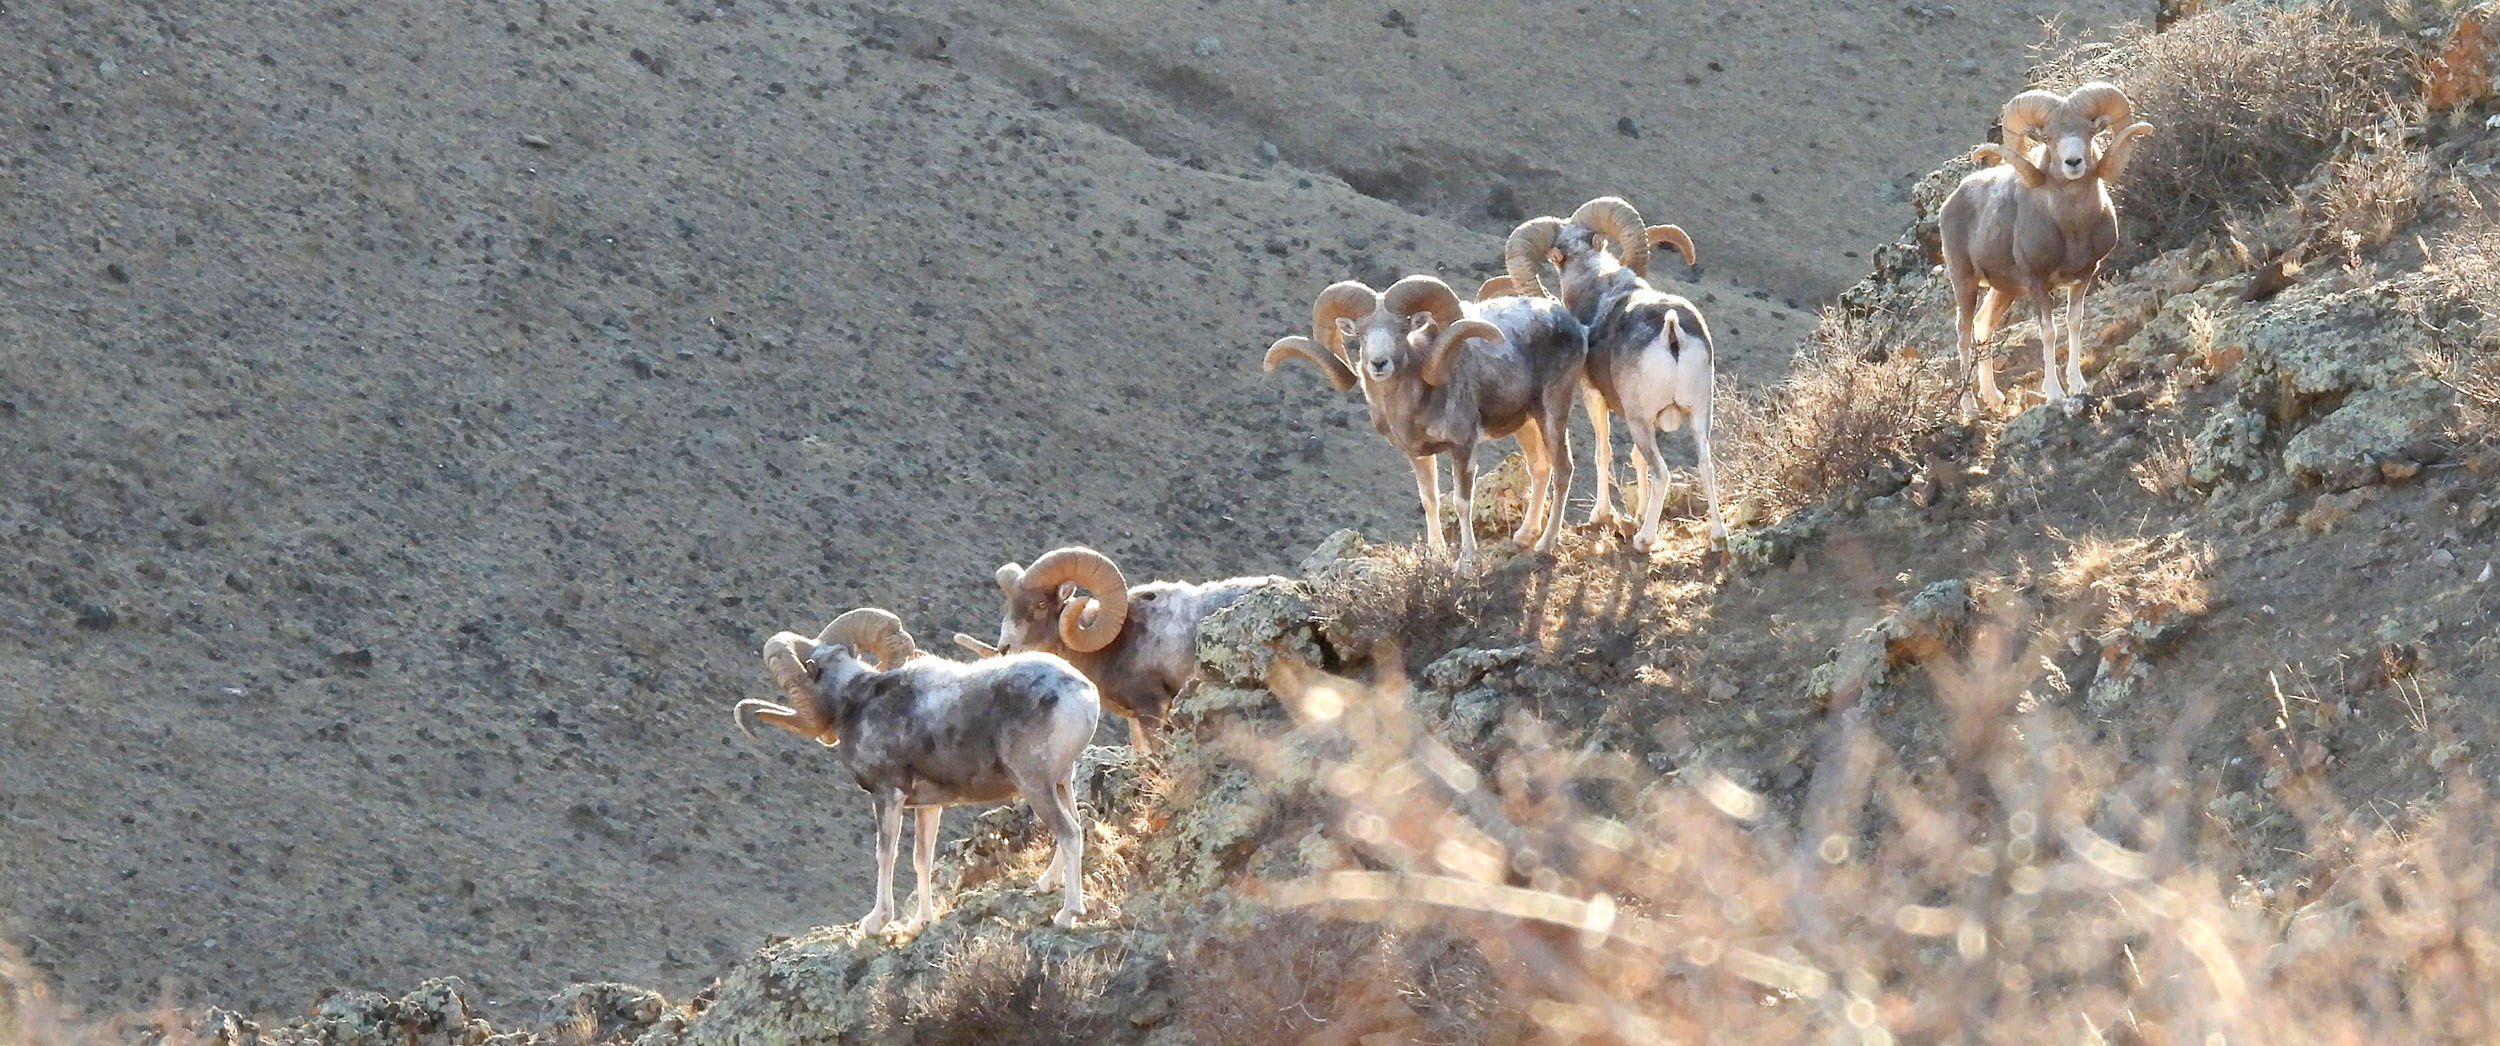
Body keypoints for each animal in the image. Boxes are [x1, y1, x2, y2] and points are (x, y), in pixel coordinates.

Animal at [735, 607, 1099, 933]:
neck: (857, 700)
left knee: (1069, 832)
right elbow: (921, 858)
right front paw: (920, 922)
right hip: (1061, 782)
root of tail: (1084, 694)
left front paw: (875, 923)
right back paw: (1047, 884)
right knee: (1075, 824)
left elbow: (885, 854)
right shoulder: (929, 806)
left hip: (1035, 785)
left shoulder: (887, 797)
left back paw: (1068, 914)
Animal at [965, 546, 1280, 752]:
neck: (1114, 645)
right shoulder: (1136, 721)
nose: (1005, 647)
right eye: (1009, 605)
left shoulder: (1151, 709)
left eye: (1041, 604)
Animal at [1264, 273, 1587, 563]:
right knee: (1540, 468)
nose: (1378, 363)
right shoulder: (1418, 454)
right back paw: (1524, 536)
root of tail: (1574, 324)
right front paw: (1435, 555)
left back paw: (1545, 544)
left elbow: (1461, 502)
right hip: (1526, 423)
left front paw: (1466, 563)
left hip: (1552, 413)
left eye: (1401, 330)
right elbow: (1429, 499)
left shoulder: (1464, 447)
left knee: (1563, 470)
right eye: (1361, 334)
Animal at [1504, 197, 1726, 550]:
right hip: (1699, 414)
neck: (1595, 280)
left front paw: (1601, 515)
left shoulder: (1593, 397)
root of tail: (1671, 330)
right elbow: (1636, 459)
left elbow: (1603, 451)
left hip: (1639, 420)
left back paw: (1644, 539)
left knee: (1662, 472)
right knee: (1705, 465)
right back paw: (1719, 536)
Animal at [1939, 82, 2153, 415]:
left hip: (2004, 291)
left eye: (2089, 132)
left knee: (1982, 326)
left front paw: (2077, 385)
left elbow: (2074, 323)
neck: (2072, 228)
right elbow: (2049, 332)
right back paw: (1970, 406)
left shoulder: (2084, 277)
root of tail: (1950, 203)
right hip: (1965, 282)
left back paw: (1994, 398)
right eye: (2049, 138)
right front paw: (2053, 394)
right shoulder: (2038, 283)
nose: (2073, 163)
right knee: (1963, 334)